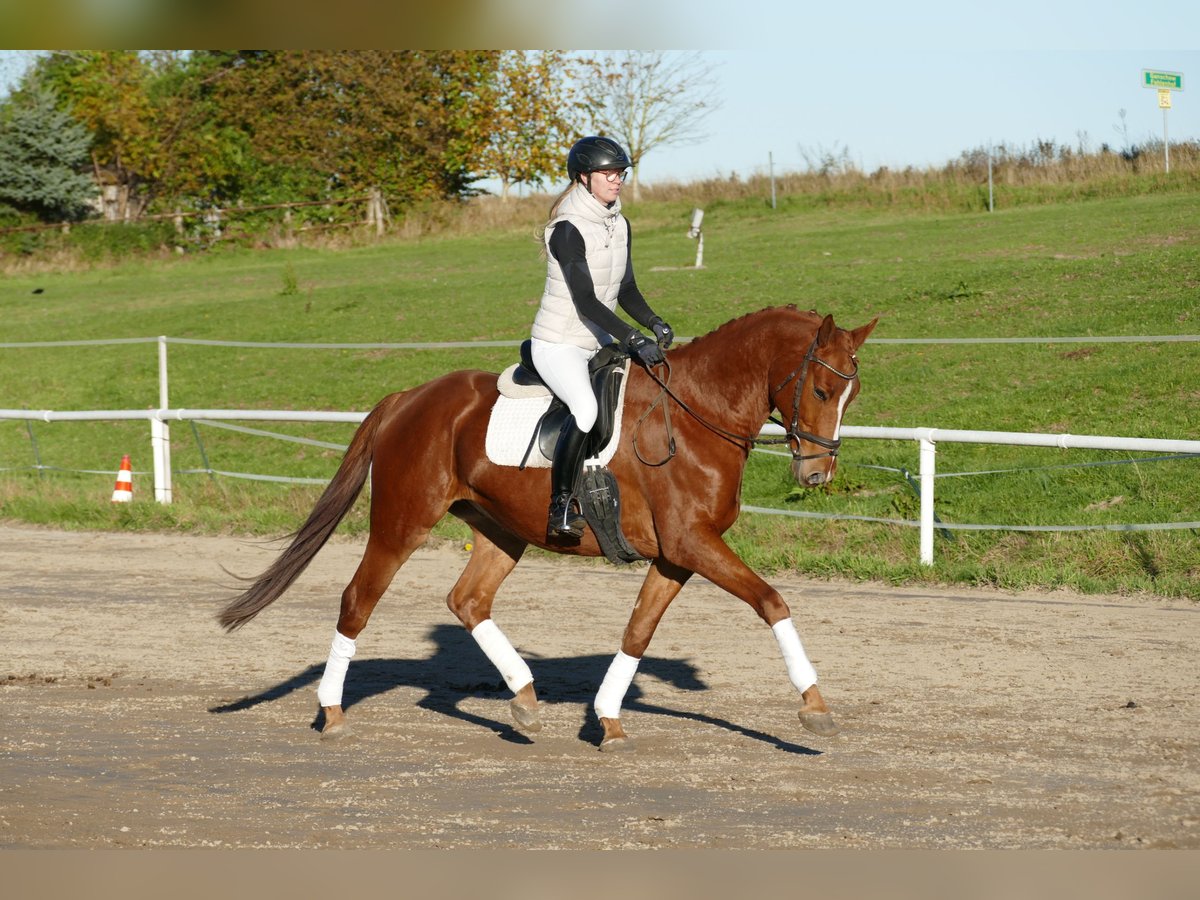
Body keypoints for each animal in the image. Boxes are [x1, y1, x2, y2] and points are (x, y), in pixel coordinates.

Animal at [218, 305, 878, 751]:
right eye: (822, 389)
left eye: (853, 394)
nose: (815, 474)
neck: (694, 415)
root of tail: (410, 397)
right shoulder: (694, 544)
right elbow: (772, 601)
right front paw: (814, 707)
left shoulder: (677, 555)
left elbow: (638, 632)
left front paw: (608, 718)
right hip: (401, 524)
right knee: (358, 600)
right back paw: (332, 713)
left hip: (502, 530)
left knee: (468, 600)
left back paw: (525, 698)